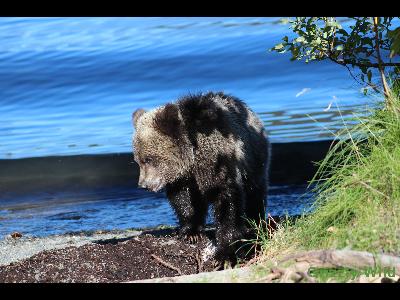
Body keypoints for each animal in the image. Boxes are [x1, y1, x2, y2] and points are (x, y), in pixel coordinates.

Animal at [133, 91, 270, 264]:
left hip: (254, 157)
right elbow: (184, 201)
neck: (192, 156)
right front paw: (190, 233)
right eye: (137, 160)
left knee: (255, 191)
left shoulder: (219, 159)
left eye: (148, 159)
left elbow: (227, 199)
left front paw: (226, 252)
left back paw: (255, 219)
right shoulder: (183, 179)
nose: (143, 185)